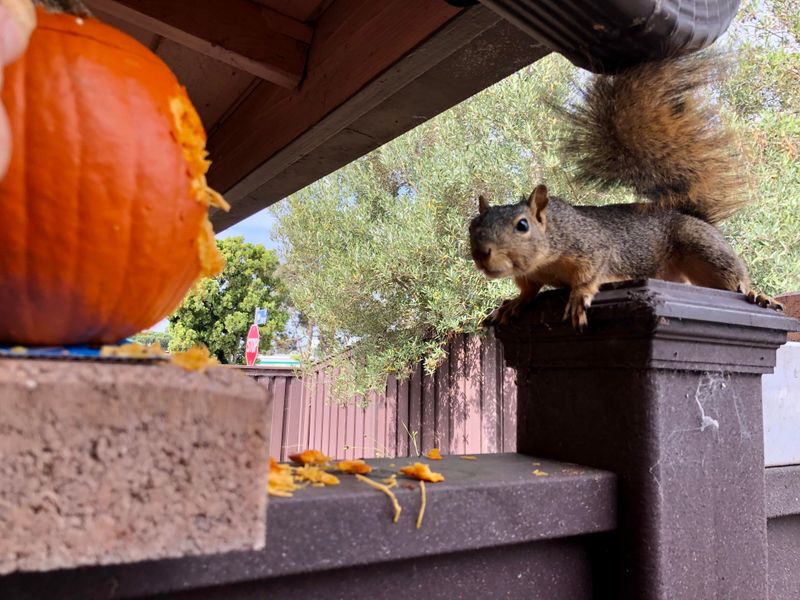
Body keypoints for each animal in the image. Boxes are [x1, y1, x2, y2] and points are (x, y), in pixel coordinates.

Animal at [469, 52, 783, 330]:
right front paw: (513, 304)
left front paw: (579, 295)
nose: (482, 253)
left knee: (734, 279)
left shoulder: (592, 245)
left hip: (704, 246)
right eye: (472, 226)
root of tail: (694, 216)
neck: (551, 242)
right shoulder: (532, 275)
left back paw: (757, 294)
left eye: (522, 225)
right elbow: (528, 290)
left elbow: (591, 272)